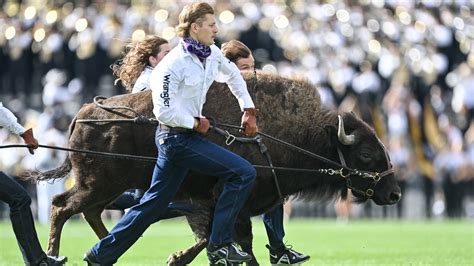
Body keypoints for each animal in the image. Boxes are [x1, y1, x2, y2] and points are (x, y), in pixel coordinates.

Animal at [28, 71, 400, 264]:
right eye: (366, 154)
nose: (394, 194)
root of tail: (81, 114)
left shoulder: (229, 203)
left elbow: (224, 237)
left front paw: (180, 257)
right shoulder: (228, 198)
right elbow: (229, 238)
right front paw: (190, 257)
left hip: (108, 187)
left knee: (91, 212)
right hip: (97, 184)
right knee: (62, 207)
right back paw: (54, 256)